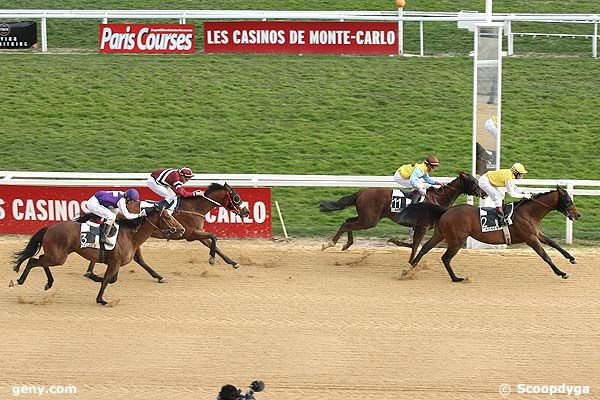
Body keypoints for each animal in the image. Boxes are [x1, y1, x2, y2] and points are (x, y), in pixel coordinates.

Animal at [11, 205, 184, 304]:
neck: (130, 235)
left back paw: (49, 283)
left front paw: (93, 276)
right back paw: (18, 281)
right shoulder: (114, 263)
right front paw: (101, 299)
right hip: (58, 257)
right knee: (33, 261)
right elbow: (107, 280)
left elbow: (112, 279)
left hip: (57, 255)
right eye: (168, 217)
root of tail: (49, 227)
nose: (182, 229)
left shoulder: (117, 263)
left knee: (39, 260)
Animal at [83, 183, 250, 282]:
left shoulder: (198, 233)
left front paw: (232, 262)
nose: (247, 211)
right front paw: (212, 259)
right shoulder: (191, 234)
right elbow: (214, 237)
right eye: (236, 197)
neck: (195, 207)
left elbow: (213, 243)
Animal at [318, 172, 488, 262]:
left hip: (366, 217)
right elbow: (415, 245)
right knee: (347, 224)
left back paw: (346, 244)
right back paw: (330, 244)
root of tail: (362, 192)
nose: (484, 193)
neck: (438, 199)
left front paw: (395, 242)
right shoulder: (422, 226)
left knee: (347, 221)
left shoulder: (421, 227)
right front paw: (411, 262)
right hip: (369, 220)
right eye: (474, 182)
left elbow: (412, 244)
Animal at [408, 187, 580, 282]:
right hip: (457, 240)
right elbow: (545, 256)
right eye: (568, 201)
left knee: (425, 248)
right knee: (445, 258)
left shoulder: (537, 233)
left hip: (440, 234)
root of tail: (446, 211)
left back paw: (409, 269)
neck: (528, 213)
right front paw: (562, 273)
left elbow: (554, 243)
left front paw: (571, 258)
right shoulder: (530, 238)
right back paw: (457, 279)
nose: (577, 215)